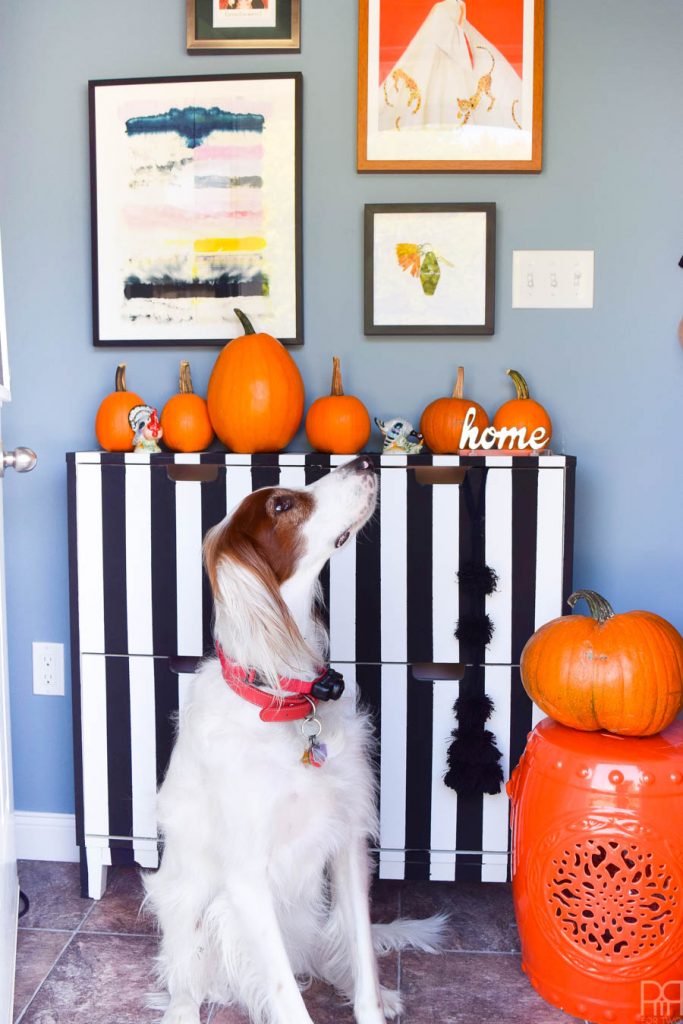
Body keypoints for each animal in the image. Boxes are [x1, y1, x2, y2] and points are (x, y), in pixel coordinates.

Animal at [143, 458, 444, 1024]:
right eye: (282, 506)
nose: (365, 460)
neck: (286, 700)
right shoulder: (247, 878)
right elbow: (286, 994)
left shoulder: (348, 843)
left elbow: (363, 959)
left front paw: (374, 1003)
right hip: (185, 908)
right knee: (184, 982)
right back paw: (183, 1009)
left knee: (341, 954)